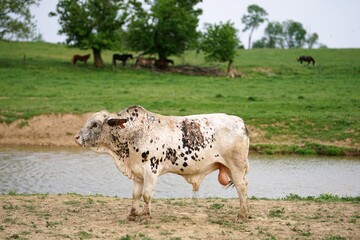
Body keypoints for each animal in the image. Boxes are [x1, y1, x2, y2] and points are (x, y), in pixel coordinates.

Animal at [75, 106, 250, 222]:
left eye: (95, 124)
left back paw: (242, 215)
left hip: (237, 166)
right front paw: (132, 215)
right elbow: (136, 195)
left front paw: (145, 216)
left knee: (241, 188)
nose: (77, 137)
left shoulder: (151, 171)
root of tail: (239, 122)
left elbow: (146, 195)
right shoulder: (138, 173)